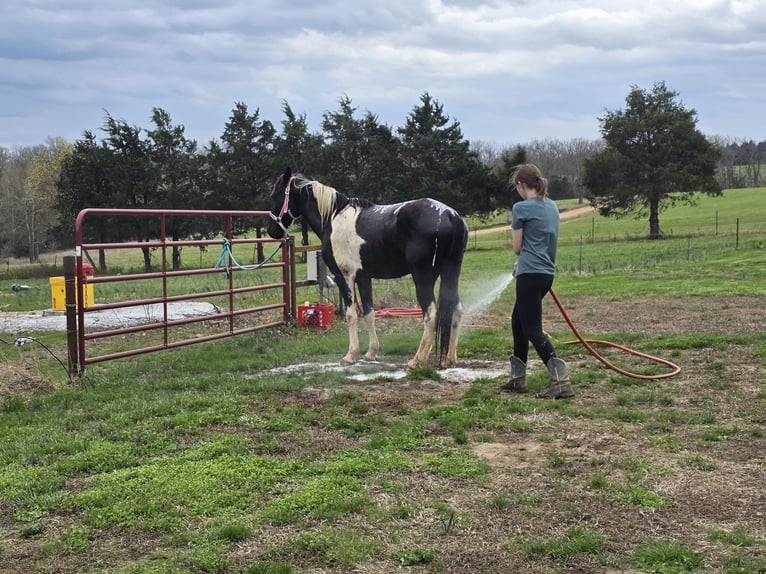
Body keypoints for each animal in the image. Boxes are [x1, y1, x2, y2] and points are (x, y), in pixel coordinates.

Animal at [266, 167, 468, 369]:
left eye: (276, 194)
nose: (271, 231)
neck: (333, 218)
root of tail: (450, 215)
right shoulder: (364, 277)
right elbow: (369, 313)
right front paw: (371, 352)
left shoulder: (344, 276)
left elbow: (351, 315)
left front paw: (350, 355)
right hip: (452, 273)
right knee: (456, 309)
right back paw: (449, 359)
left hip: (423, 278)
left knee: (430, 315)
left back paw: (416, 360)